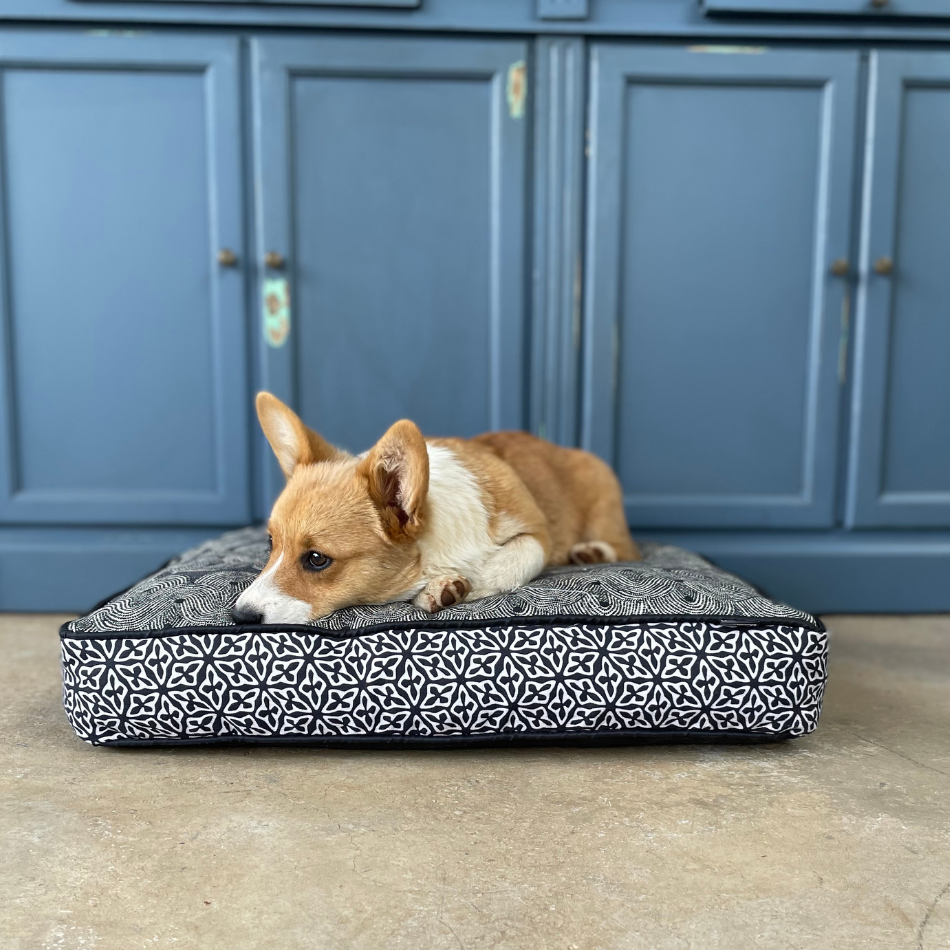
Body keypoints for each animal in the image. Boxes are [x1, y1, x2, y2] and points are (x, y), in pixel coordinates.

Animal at [231, 390, 640, 628]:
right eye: (270, 544)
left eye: (317, 559)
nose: (239, 617)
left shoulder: (536, 532)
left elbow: (512, 560)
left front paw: (448, 588)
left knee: (627, 547)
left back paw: (592, 551)